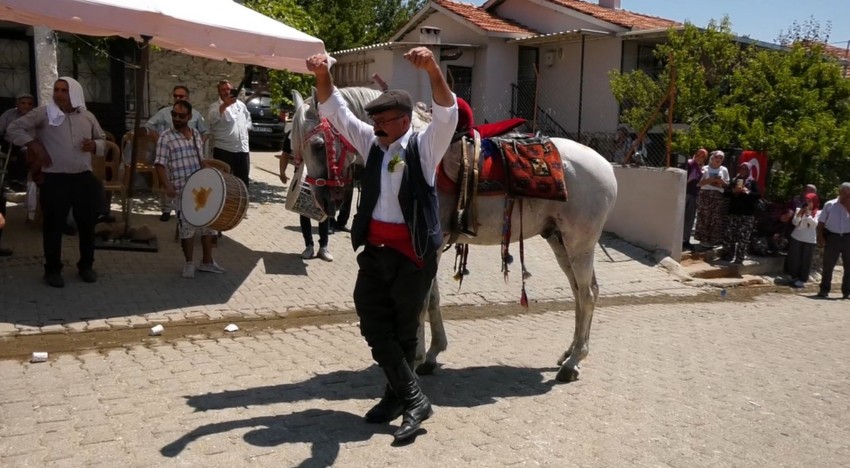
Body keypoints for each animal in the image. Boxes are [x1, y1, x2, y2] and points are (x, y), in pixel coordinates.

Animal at [292, 88, 616, 384]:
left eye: (319, 145)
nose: (322, 201)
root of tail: (605, 166)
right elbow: (432, 298)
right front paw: (432, 354)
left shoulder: (426, 245)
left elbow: (420, 301)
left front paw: (417, 357)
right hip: (559, 241)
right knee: (582, 292)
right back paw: (569, 353)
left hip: (579, 244)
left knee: (587, 294)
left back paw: (572, 363)